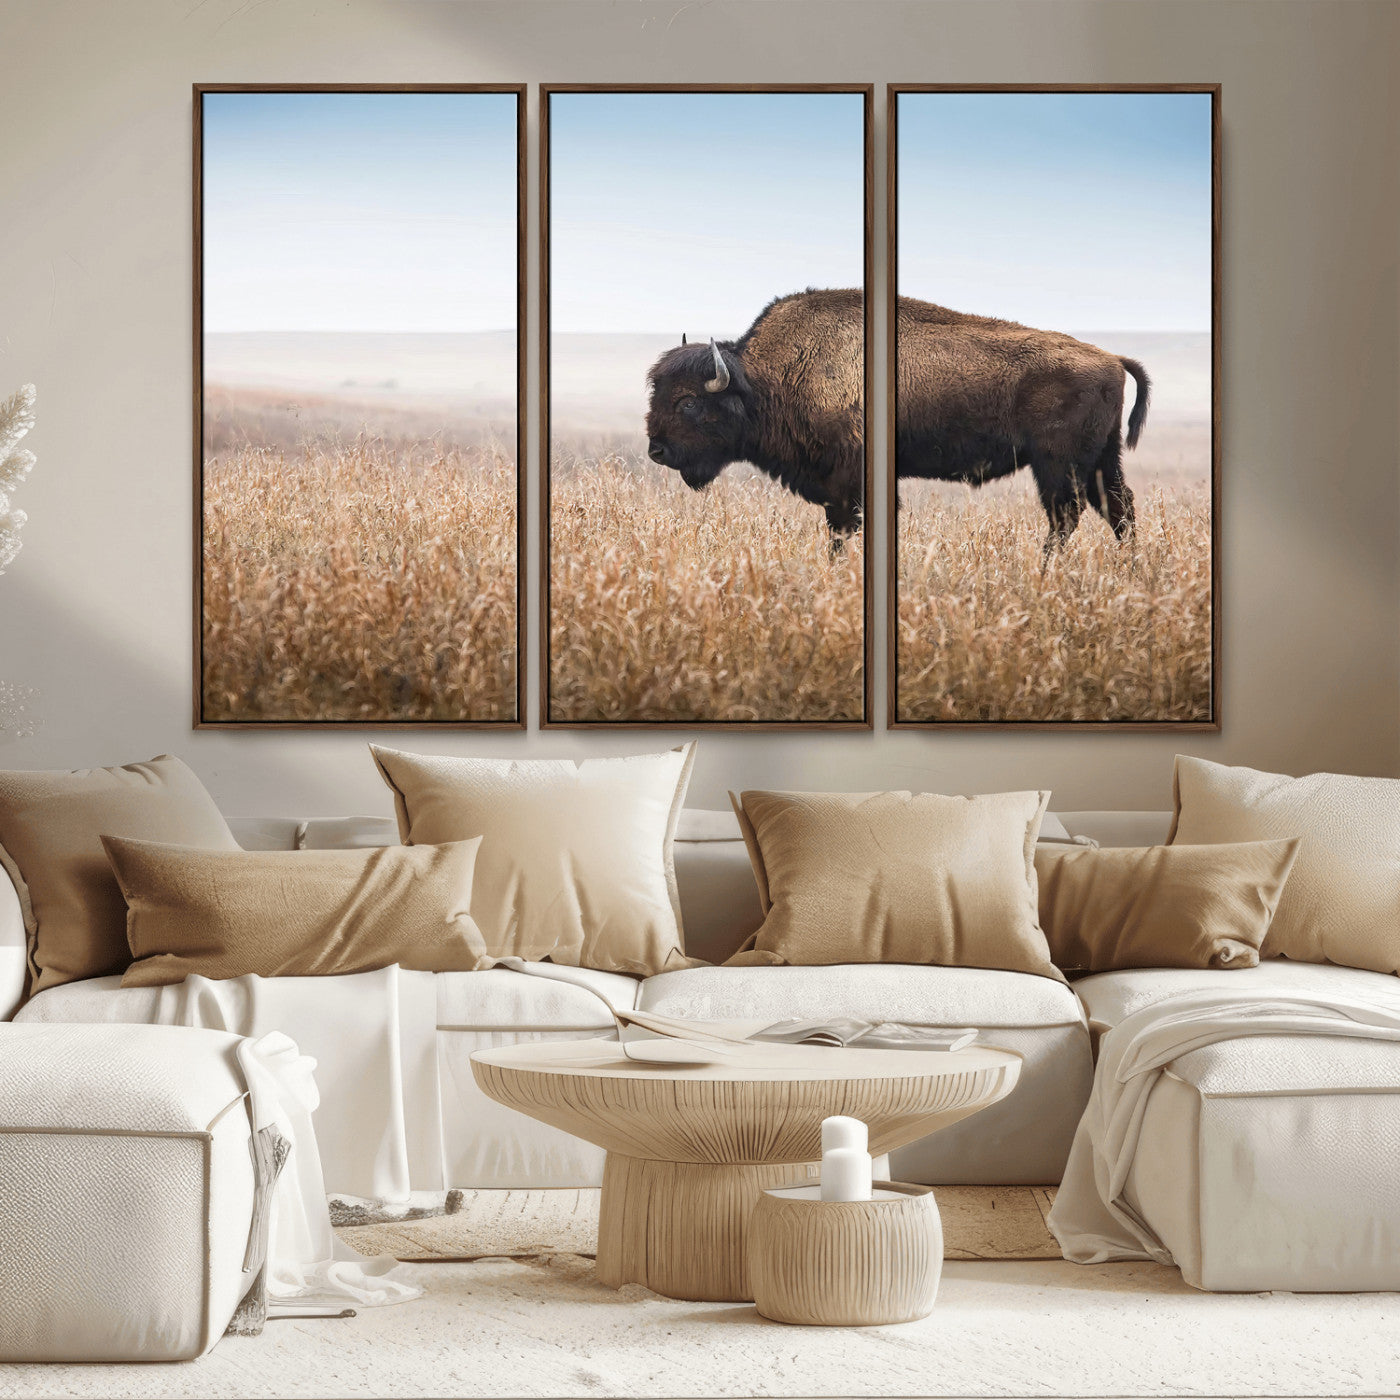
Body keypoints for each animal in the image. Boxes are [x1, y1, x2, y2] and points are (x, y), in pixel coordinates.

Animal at [645, 288, 1149, 551]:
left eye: (688, 402)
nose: (656, 450)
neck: (766, 379)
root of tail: (1111, 358)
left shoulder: (849, 482)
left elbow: (844, 528)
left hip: (1058, 465)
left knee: (1067, 517)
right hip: (1102, 460)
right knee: (1119, 510)